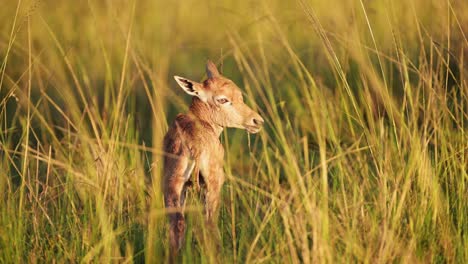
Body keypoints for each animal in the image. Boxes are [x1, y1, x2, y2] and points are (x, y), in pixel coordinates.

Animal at [163, 60, 262, 256]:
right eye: (223, 99)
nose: (257, 121)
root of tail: (195, 146)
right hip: (212, 186)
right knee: (209, 224)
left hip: (173, 185)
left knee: (177, 224)